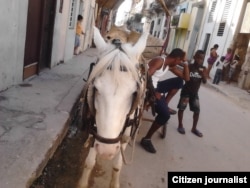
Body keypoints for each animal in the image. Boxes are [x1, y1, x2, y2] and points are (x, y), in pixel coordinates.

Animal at [78, 27, 147, 188]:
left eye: (134, 93)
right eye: (96, 88)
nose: (106, 150)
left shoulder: (125, 136)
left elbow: (117, 166)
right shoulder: (96, 130)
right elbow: (89, 162)